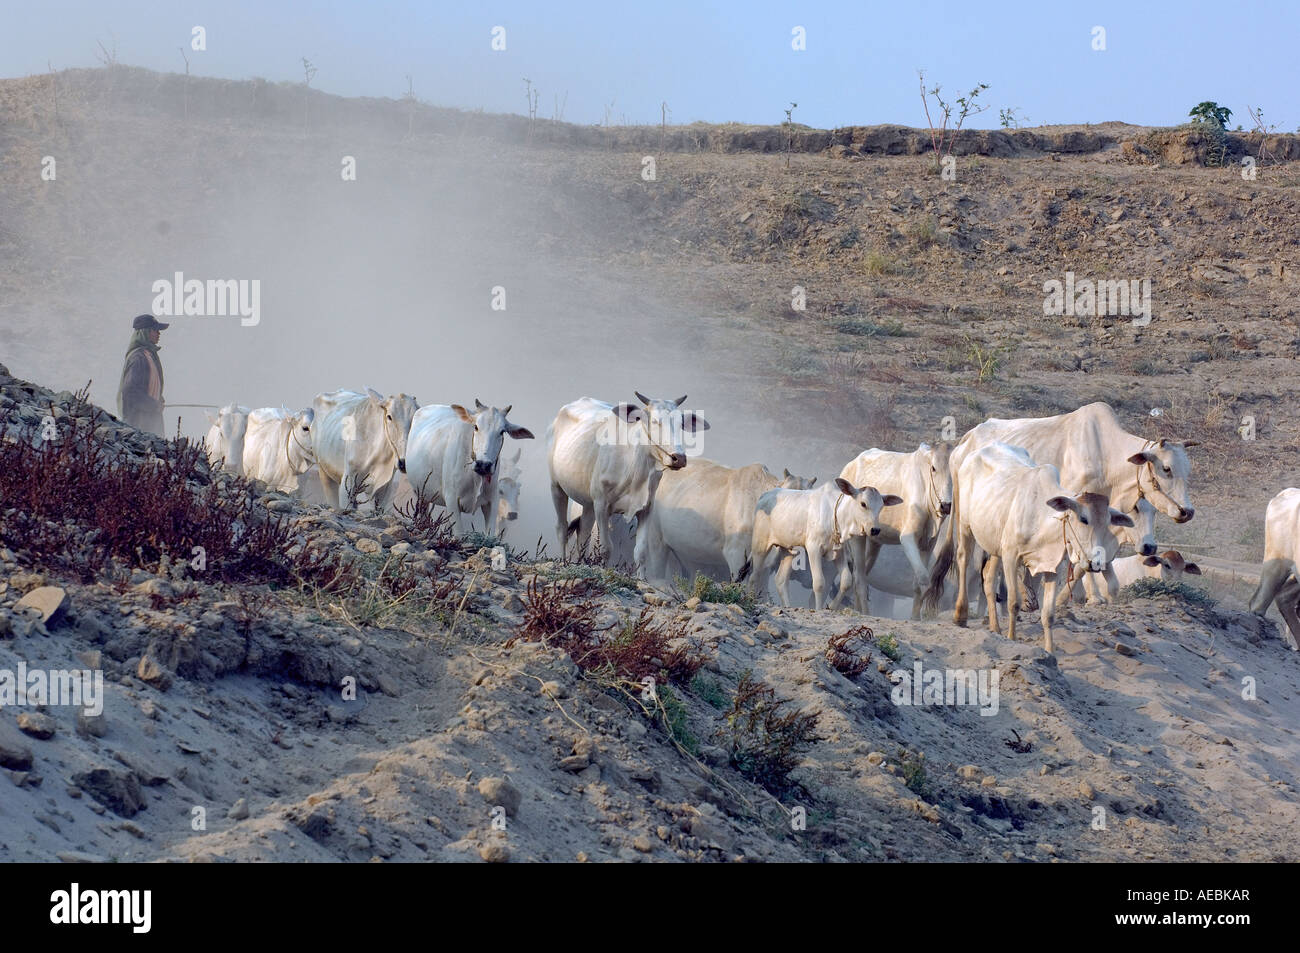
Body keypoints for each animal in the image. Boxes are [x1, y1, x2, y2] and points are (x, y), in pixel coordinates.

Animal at [548, 390, 712, 561]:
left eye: (681, 425)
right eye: (654, 421)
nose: (679, 458)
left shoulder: (646, 507)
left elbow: (641, 552)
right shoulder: (601, 504)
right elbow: (606, 548)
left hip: (587, 502)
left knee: (583, 533)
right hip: (556, 486)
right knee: (561, 528)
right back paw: (564, 561)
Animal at [748, 475, 899, 608]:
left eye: (881, 507)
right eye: (863, 504)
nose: (875, 530)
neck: (835, 513)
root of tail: (765, 495)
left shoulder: (839, 552)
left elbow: (846, 581)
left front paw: (831, 607)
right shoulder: (813, 548)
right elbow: (819, 583)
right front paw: (819, 609)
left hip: (789, 550)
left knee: (780, 580)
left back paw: (787, 606)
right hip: (760, 546)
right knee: (755, 576)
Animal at [930, 439, 1133, 650]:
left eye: (1108, 522)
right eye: (1083, 519)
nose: (1097, 562)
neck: (1042, 518)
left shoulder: (1052, 567)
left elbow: (1048, 614)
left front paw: (1049, 650)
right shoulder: (1011, 557)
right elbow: (1013, 603)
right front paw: (1012, 639)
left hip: (995, 542)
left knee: (988, 578)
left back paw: (995, 627)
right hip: (964, 525)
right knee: (963, 559)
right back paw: (960, 615)